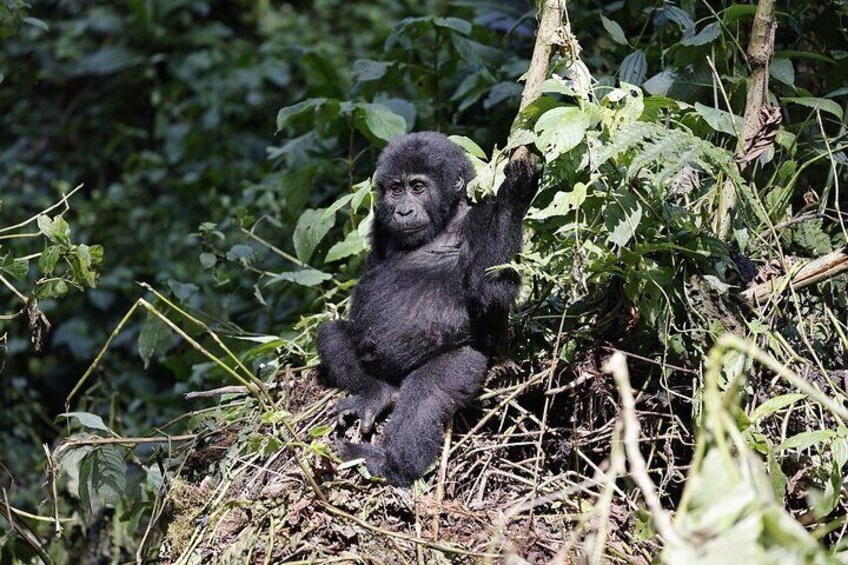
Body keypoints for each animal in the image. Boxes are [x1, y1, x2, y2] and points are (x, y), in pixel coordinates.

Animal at [314, 132, 540, 484]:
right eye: (396, 189)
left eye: (418, 187)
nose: (404, 211)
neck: (446, 219)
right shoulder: (380, 224)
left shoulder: (482, 216)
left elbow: (490, 293)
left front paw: (516, 193)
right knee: (332, 334)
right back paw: (375, 395)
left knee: (426, 394)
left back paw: (390, 463)